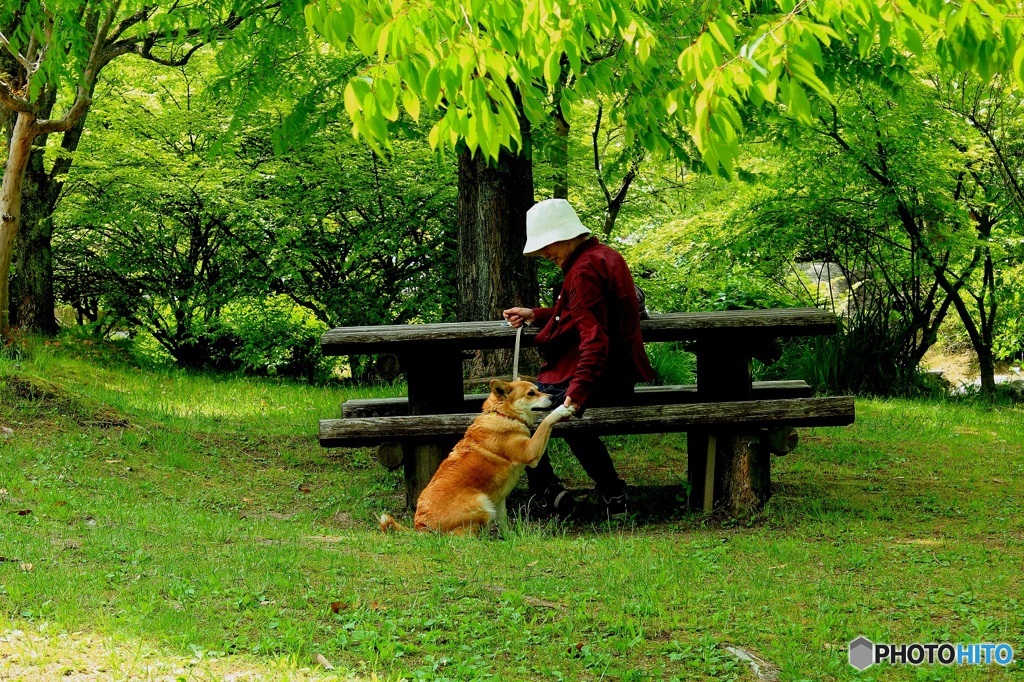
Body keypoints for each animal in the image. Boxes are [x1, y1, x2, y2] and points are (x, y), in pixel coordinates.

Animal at [382, 378, 577, 532]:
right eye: (531, 393)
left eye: (537, 389)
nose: (553, 397)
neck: (503, 415)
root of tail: (421, 526)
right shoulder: (530, 451)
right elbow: (546, 422)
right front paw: (561, 410)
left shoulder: (499, 498)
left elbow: (504, 522)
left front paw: (508, 539)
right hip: (482, 503)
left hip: (488, 502)